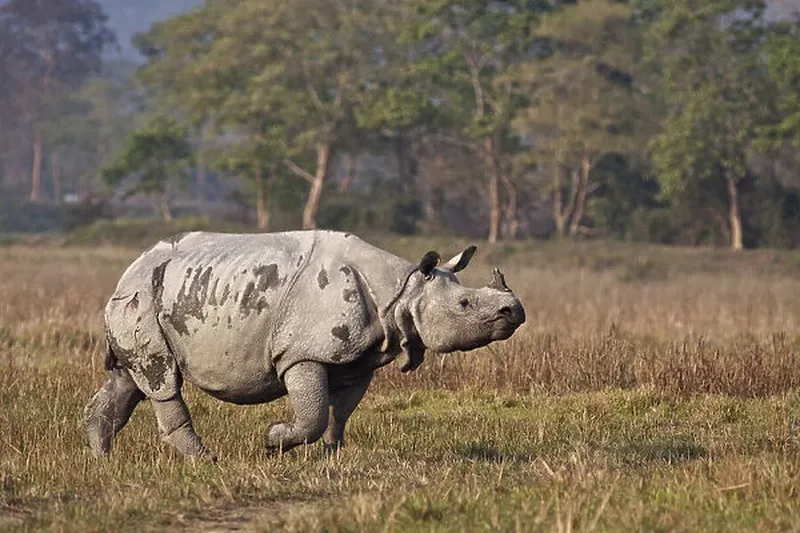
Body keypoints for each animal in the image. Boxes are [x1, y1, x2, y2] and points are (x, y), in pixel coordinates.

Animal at [86, 231, 524, 460]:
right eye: (465, 304)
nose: (515, 311)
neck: (405, 289)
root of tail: (127, 271)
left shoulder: (360, 358)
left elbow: (339, 411)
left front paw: (332, 455)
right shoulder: (301, 354)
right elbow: (312, 413)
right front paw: (272, 441)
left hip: (149, 297)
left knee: (128, 379)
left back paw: (102, 460)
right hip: (141, 297)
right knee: (162, 381)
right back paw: (205, 461)